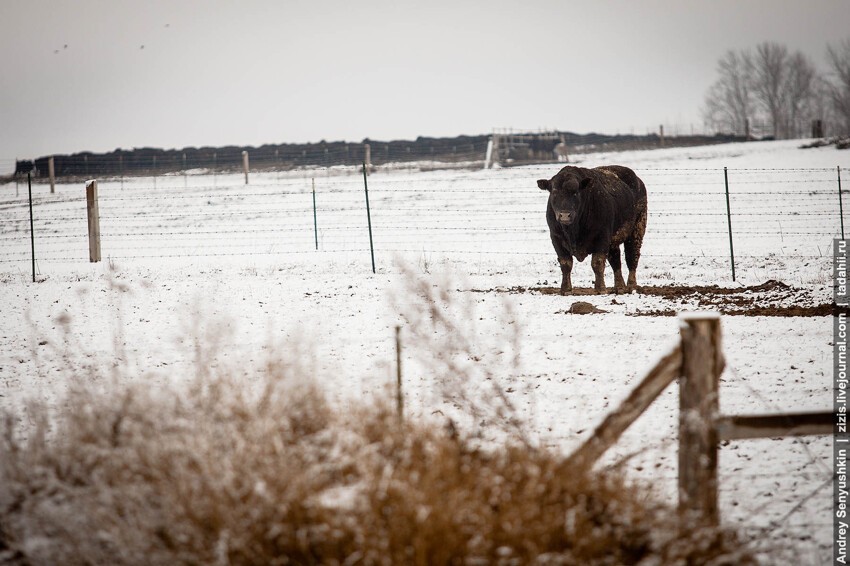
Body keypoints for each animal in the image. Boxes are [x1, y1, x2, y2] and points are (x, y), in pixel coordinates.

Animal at [536, 165, 648, 296]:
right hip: (613, 242)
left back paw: (631, 286)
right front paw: (565, 289)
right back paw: (619, 287)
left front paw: (600, 288)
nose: (564, 215)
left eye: (575, 192)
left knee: (632, 257)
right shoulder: (556, 238)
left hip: (636, 230)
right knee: (616, 261)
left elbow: (597, 263)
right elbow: (566, 264)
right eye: (554, 192)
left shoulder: (602, 237)